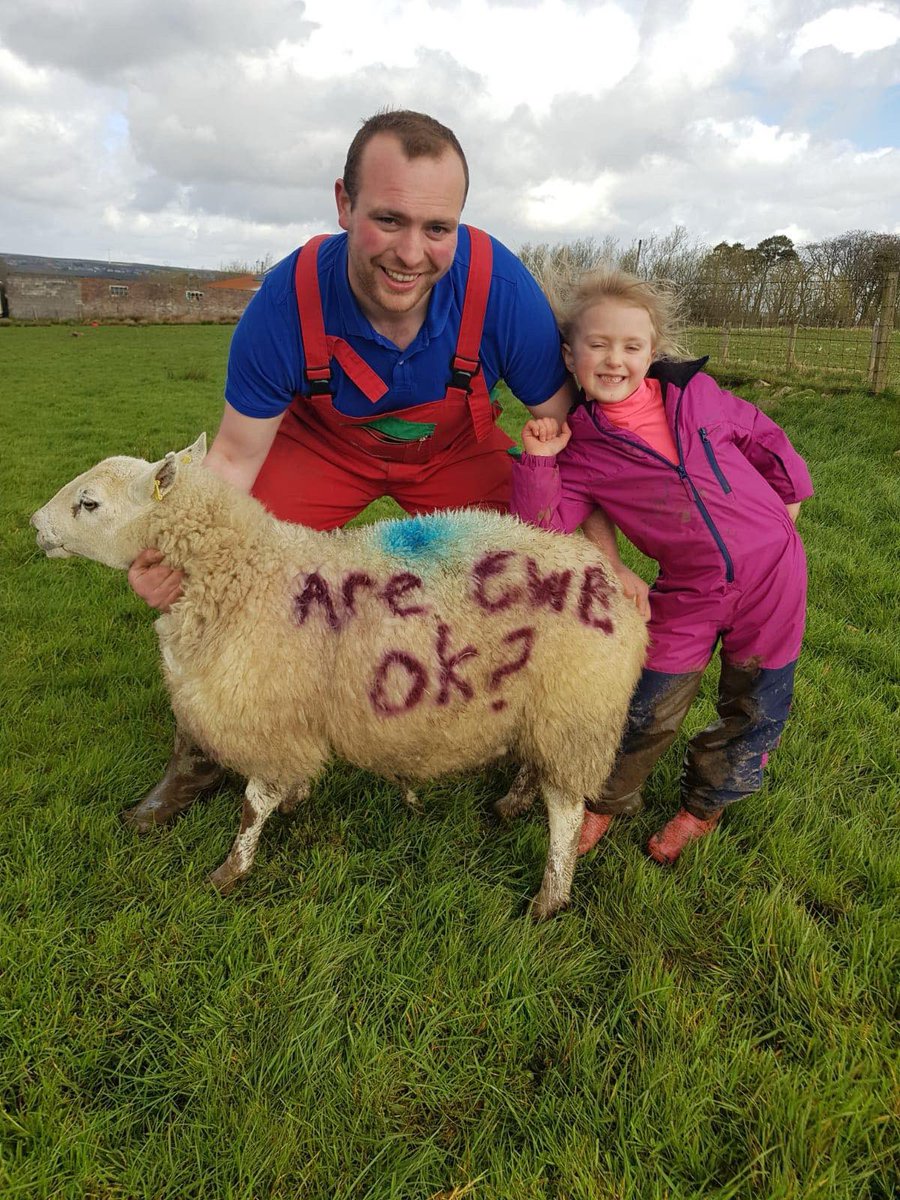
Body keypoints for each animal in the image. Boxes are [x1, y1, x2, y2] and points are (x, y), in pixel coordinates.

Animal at [30, 439, 648, 916]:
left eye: (88, 503)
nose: (33, 524)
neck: (244, 572)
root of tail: (611, 580)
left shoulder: (268, 713)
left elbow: (254, 803)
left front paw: (231, 870)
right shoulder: (288, 714)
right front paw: (296, 798)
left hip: (575, 713)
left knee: (566, 811)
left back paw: (549, 897)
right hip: (536, 707)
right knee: (537, 767)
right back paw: (512, 805)